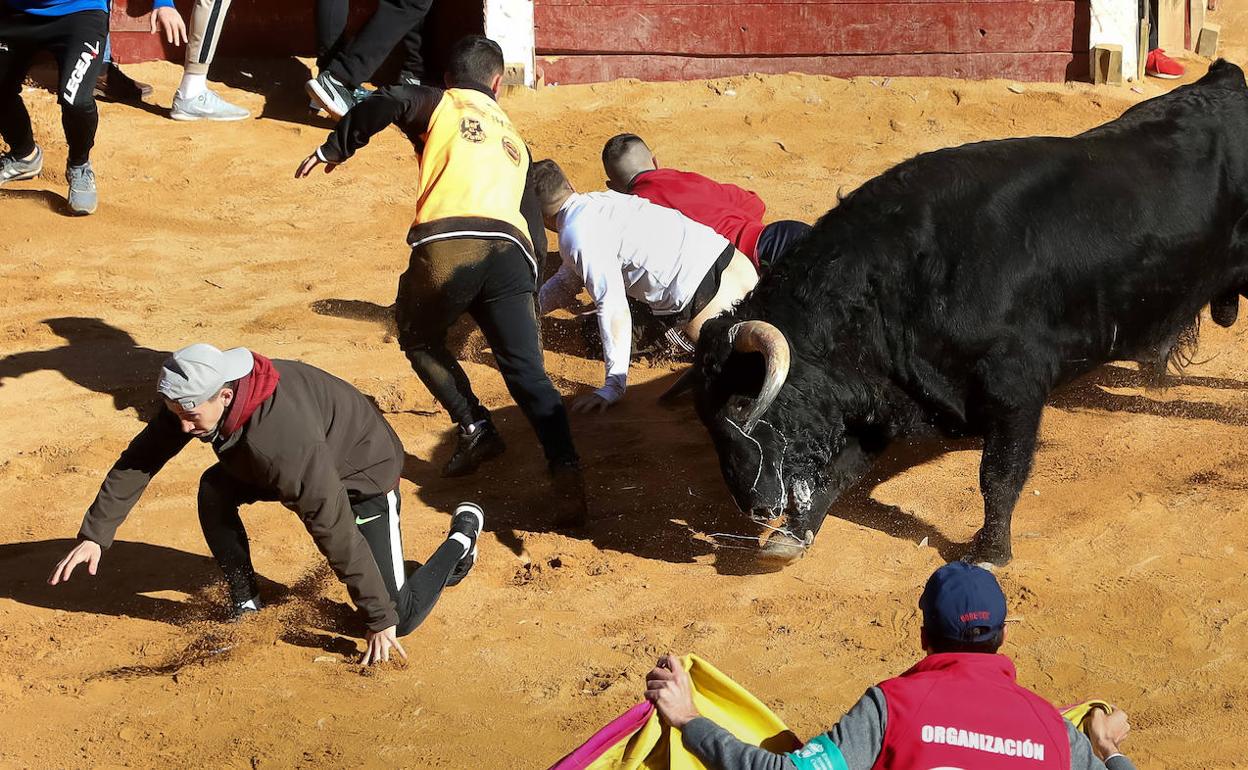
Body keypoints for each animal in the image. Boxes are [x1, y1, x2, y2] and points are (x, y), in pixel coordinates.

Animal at [688, 59, 1248, 564]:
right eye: (708, 419)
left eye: (740, 405)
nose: (755, 506)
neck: (902, 283)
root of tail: (1225, 78)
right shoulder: (892, 392)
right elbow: (840, 470)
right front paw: (791, 537)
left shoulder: (1016, 390)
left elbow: (998, 475)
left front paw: (990, 551)